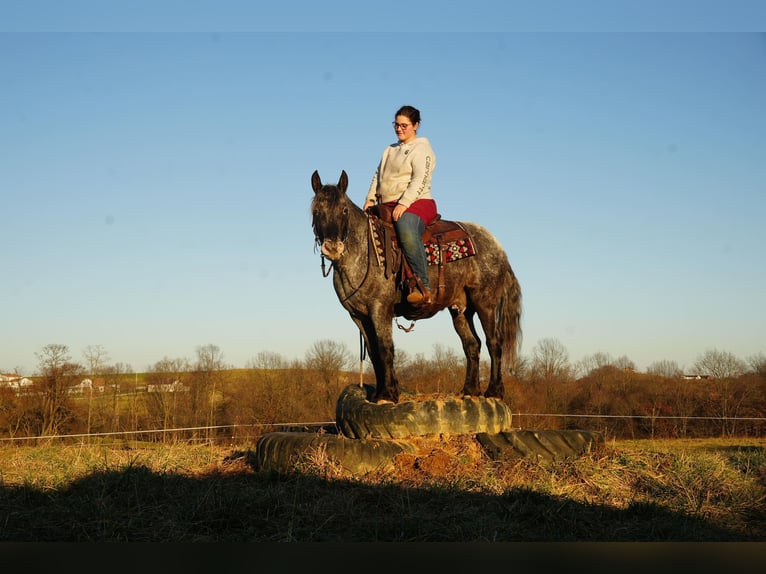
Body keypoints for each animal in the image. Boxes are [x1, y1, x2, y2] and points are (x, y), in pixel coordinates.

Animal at [310, 171, 520, 404]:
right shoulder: (358, 315)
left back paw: (494, 391)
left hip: (485, 303)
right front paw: (380, 392)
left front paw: (388, 394)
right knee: (472, 344)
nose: (332, 247)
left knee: (494, 342)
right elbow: (373, 352)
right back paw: (470, 390)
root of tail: (498, 247)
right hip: (461, 310)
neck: (364, 251)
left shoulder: (380, 309)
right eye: (316, 211)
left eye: (344, 210)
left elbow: (385, 349)